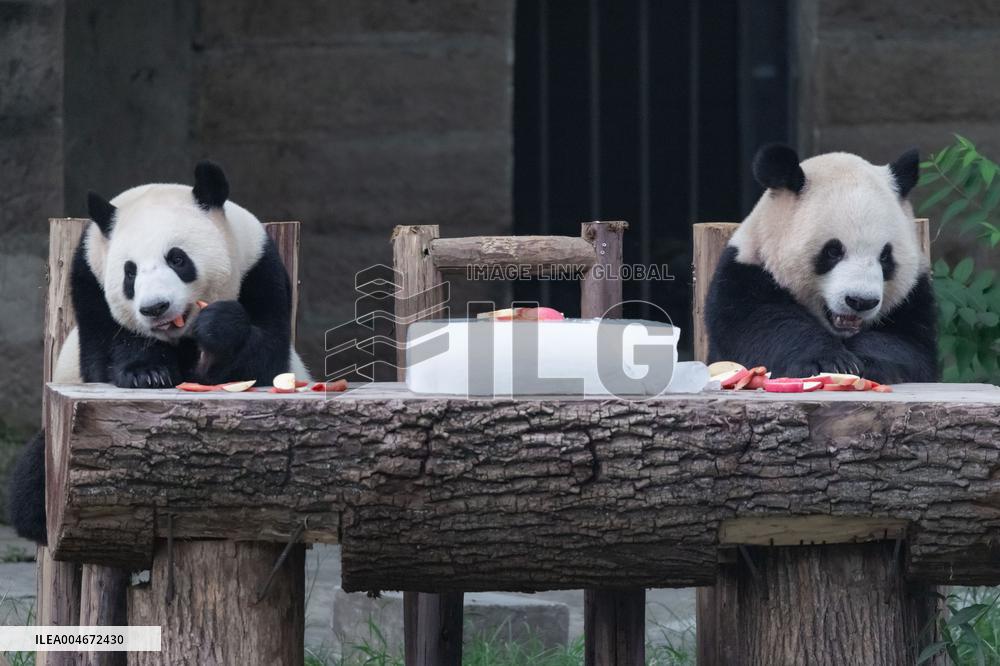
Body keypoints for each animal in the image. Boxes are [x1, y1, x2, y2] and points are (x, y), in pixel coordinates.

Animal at [8, 161, 309, 543]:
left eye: (177, 258)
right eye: (129, 272)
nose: (155, 308)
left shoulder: (261, 269)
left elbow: (267, 359)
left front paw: (217, 331)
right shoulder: (89, 281)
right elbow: (104, 356)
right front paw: (147, 372)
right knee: (33, 479)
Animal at [705, 144, 937, 384]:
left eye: (885, 256)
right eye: (833, 251)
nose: (861, 301)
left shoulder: (913, 299)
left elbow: (906, 345)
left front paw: (870, 362)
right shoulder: (744, 277)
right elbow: (768, 326)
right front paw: (829, 361)